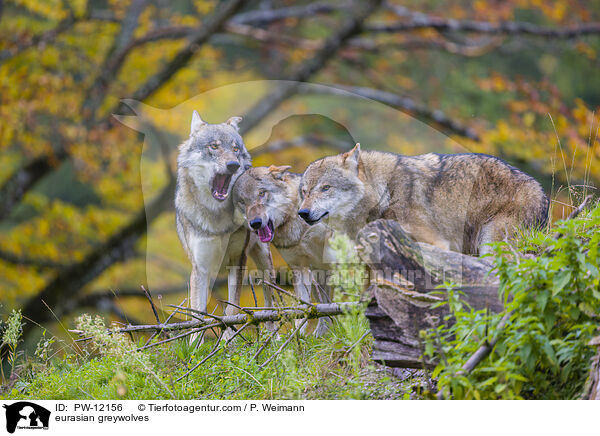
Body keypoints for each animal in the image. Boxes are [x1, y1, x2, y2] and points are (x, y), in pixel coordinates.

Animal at [175, 111, 276, 338]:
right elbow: (198, 316)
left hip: (264, 260)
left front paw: (228, 341)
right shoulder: (200, 267)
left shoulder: (237, 259)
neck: (217, 217)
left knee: (272, 302)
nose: (233, 165)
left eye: (235, 149)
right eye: (214, 146)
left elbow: (231, 310)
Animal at [232, 165, 332, 336]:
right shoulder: (300, 267)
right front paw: (300, 334)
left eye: (261, 193)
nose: (255, 223)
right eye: (242, 202)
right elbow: (304, 306)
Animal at [298, 145, 548, 255]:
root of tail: (543, 194)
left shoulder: (436, 243)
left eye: (325, 188)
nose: (302, 213)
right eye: (304, 191)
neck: (385, 192)